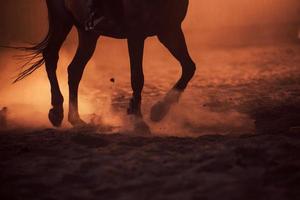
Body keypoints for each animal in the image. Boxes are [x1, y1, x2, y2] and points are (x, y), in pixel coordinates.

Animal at [12, 0, 197, 128]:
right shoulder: (136, 34)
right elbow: (137, 77)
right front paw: (139, 120)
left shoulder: (169, 30)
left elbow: (189, 67)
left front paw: (158, 111)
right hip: (61, 19)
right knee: (51, 56)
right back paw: (57, 111)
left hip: (88, 33)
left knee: (74, 70)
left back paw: (76, 119)